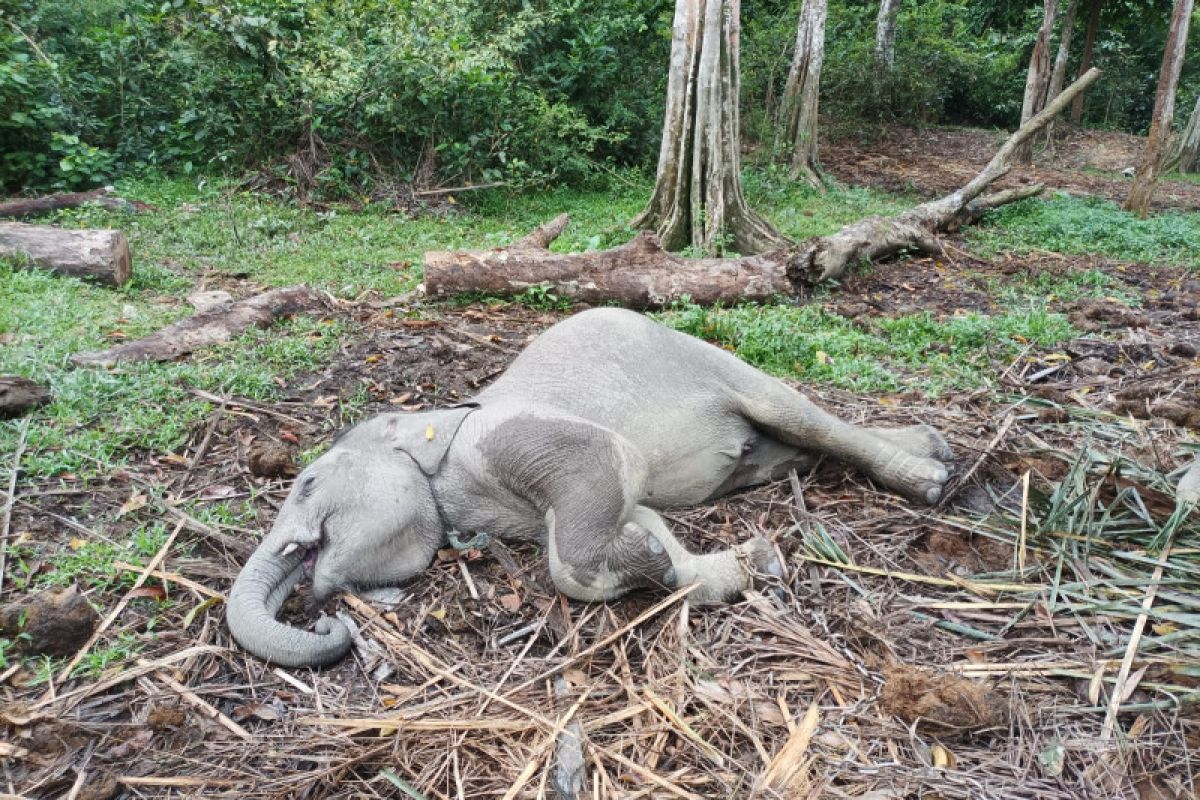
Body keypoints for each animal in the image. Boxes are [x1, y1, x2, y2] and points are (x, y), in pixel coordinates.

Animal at [226, 309, 955, 666]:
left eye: (307, 483)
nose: (329, 619)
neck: (437, 420)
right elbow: (640, 516)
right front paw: (730, 562)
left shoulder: (519, 435)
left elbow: (603, 477)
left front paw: (654, 559)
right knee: (793, 449)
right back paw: (927, 449)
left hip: (715, 362)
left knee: (801, 415)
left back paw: (934, 478)